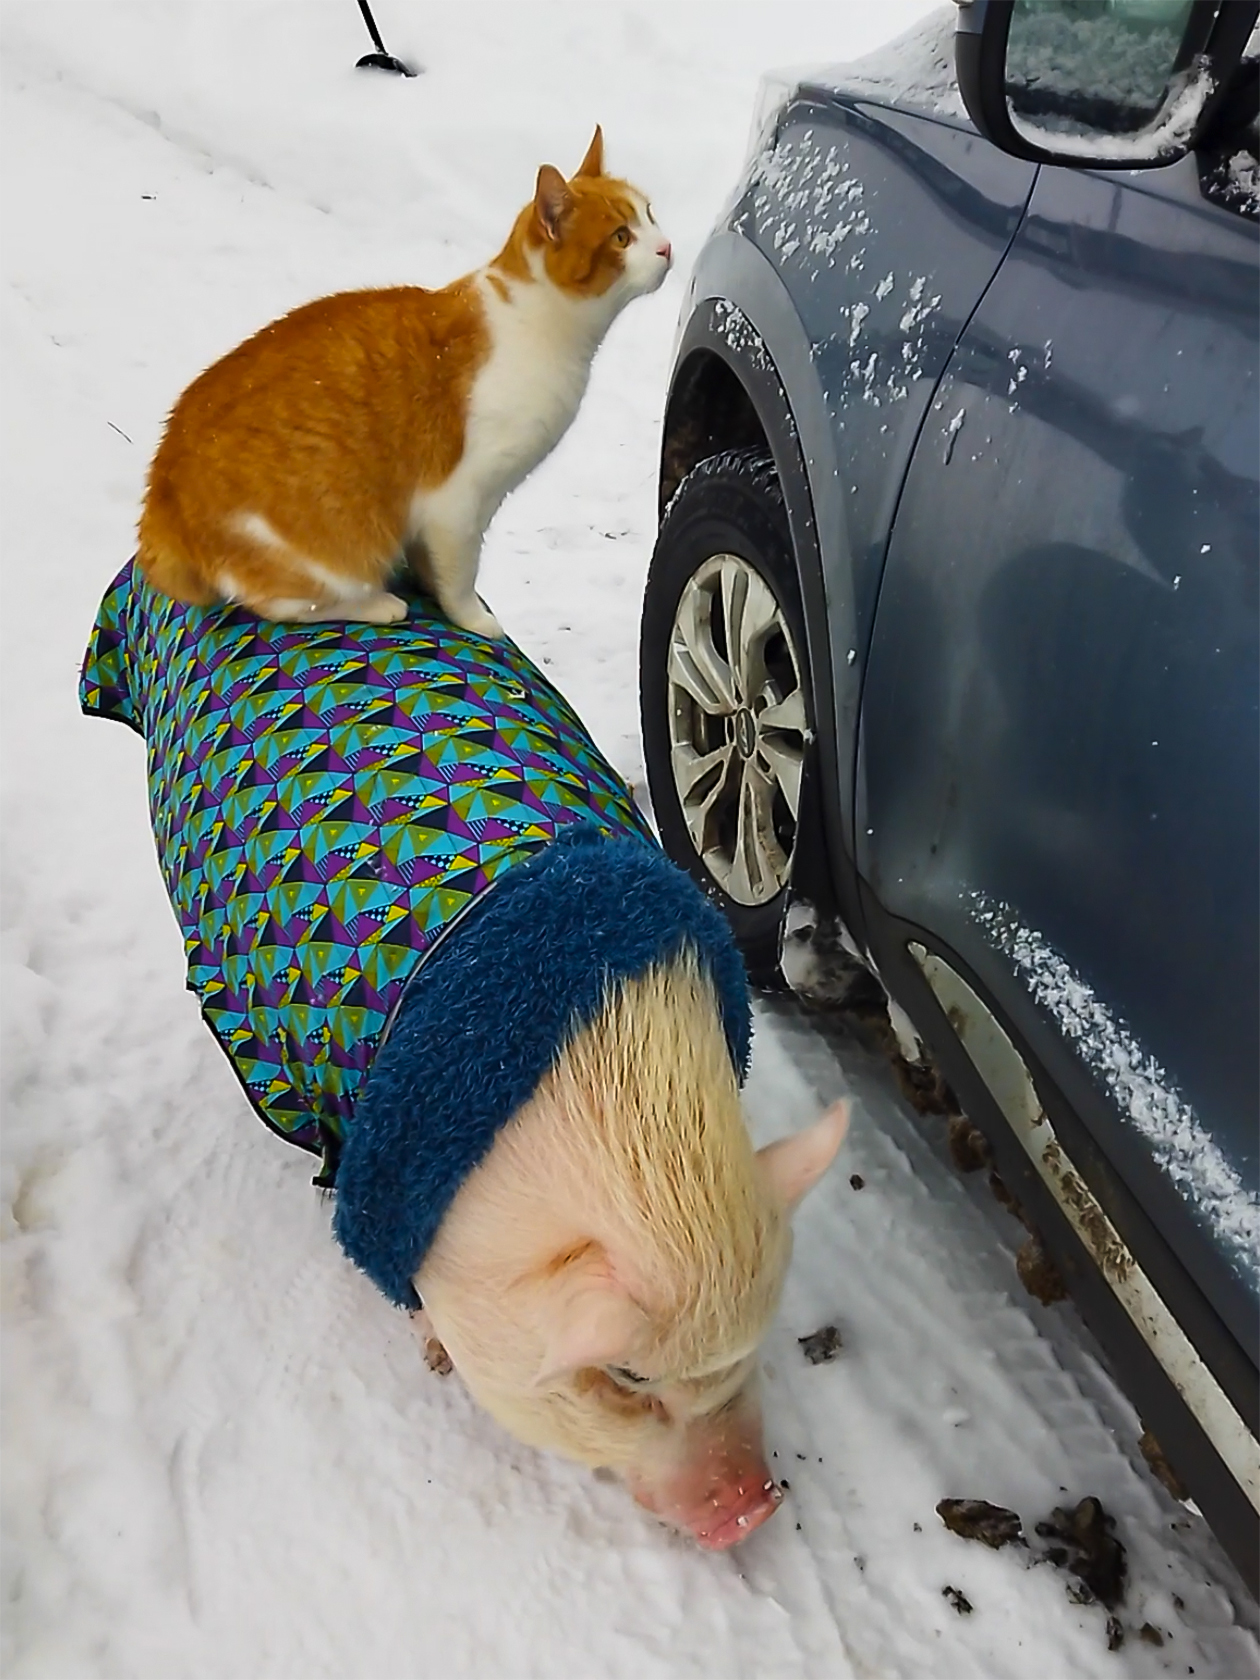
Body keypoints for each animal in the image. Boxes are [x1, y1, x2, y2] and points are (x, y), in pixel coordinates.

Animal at [136, 127, 672, 638]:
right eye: (621, 237)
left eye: (649, 214)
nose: (667, 247)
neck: (541, 323)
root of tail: (162, 488)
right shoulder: (458, 503)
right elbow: (460, 577)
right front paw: (472, 618)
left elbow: (434, 566)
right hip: (322, 550)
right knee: (280, 602)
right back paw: (378, 604)